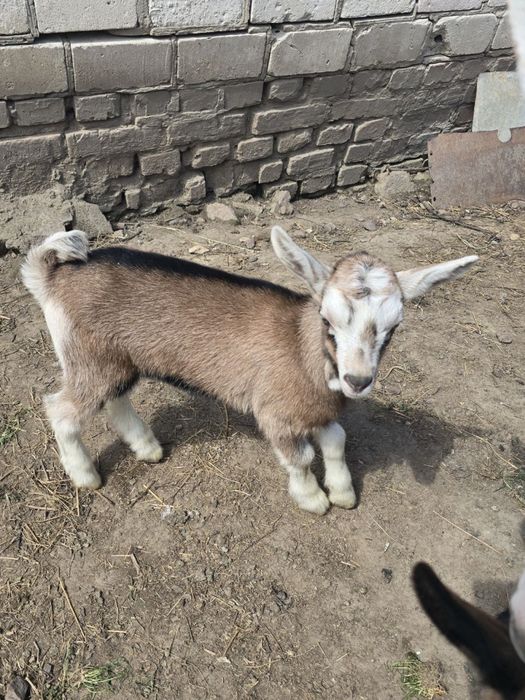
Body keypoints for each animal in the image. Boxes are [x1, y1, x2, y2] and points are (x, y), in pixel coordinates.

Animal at [22, 227, 477, 513]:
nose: (358, 380)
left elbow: (336, 440)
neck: (301, 349)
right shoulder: (276, 412)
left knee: (115, 399)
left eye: (394, 326)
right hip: (88, 358)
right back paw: (85, 476)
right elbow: (300, 456)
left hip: (114, 360)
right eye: (328, 318)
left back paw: (148, 448)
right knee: (62, 409)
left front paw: (343, 491)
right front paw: (314, 500)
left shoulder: (317, 410)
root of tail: (50, 275)